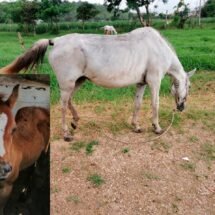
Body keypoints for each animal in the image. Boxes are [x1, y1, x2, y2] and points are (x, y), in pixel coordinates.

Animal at [0, 26, 195, 141]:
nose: (182, 107)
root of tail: (55, 41)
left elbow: (138, 104)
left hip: (77, 82)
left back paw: (75, 122)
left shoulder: (142, 84)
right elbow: (155, 104)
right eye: (189, 86)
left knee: (69, 101)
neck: (158, 48)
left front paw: (136, 126)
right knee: (62, 105)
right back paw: (66, 133)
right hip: (68, 84)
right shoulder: (154, 81)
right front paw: (157, 128)